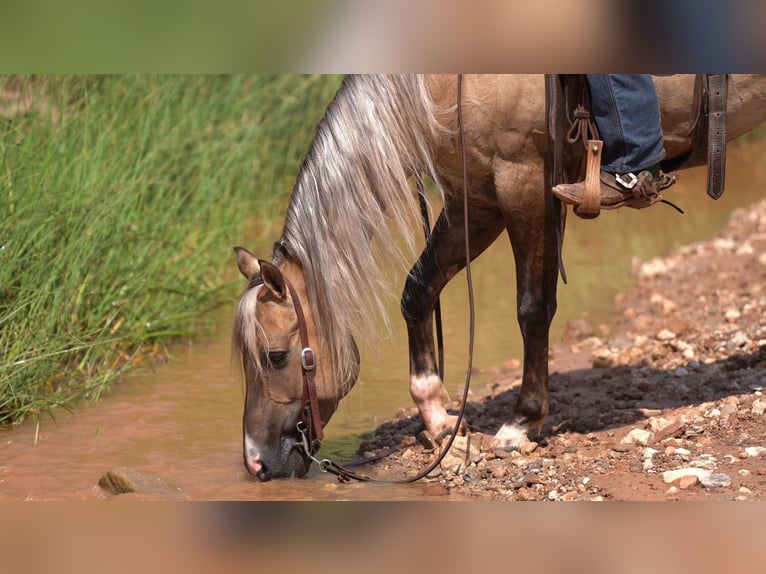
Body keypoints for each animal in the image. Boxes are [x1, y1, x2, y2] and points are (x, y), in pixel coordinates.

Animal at [232, 74, 766, 484]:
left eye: (275, 356)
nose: (256, 463)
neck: (439, 85)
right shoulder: (477, 200)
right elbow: (418, 290)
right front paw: (438, 420)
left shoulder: (524, 183)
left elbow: (533, 308)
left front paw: (521, 425)